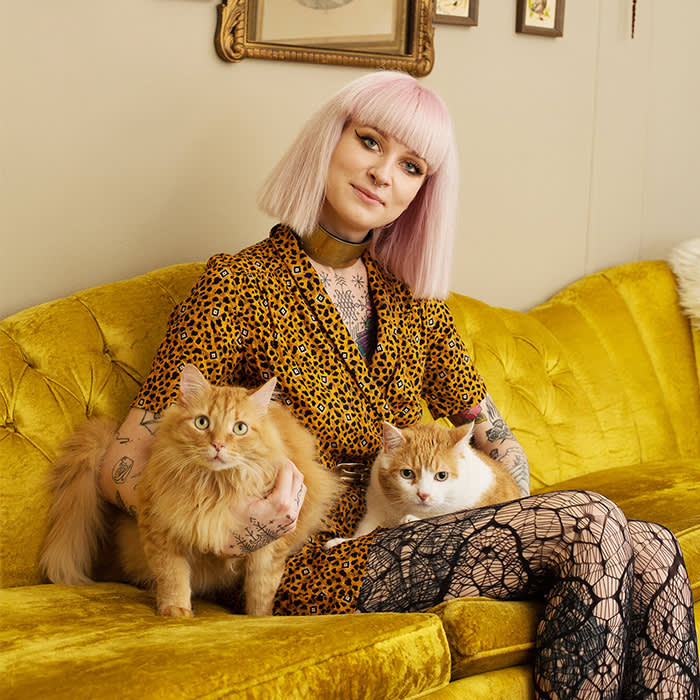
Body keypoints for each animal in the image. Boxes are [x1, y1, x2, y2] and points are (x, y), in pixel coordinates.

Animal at [41, 366, 342, 616]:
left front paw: (260, 619)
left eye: (240, 428)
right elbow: (173, 577)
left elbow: (261, 592)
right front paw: (175, 611)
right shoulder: (162, 527)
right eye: (202, 423)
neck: (215, 487)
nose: (218, 445)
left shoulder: (270, 544)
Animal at [326, 422, 516, 548]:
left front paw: (411, 519)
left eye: (442, 476)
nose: (423, 494)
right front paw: (341, 541)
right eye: (407, 473)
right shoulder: (376, 504)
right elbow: (365, 531)